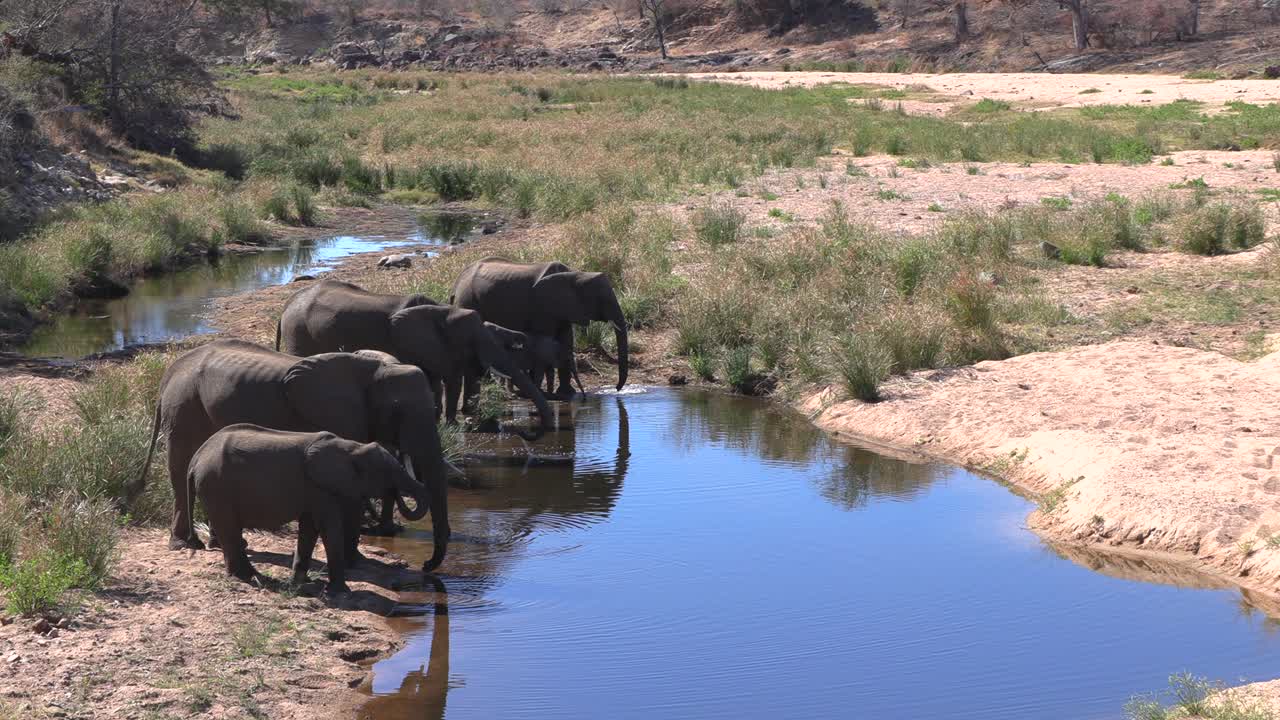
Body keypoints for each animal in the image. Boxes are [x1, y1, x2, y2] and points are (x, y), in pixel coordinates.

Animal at [128, 339, 451, 573]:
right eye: (397, 410)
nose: (426, 565)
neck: (376, 369)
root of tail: (170, 371)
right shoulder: (337, 418)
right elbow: (349, 492)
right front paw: (356, 564)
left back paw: (224, 543)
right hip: (184, 404)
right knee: (180, 465)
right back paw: (183, 545)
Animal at [189, 424, 420, 595]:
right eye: (388, 472)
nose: (395, 492)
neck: (352, 447)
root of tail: (195, 458)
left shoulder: (316, 490)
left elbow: (309, 528)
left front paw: (300, 583)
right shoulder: (321, 487)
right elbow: (328, 527)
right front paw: (340, 592)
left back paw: (247, 575)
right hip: (216, 485)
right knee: (229, 528)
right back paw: (248, 576)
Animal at [276, 279, 552, 439]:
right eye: (472, 340)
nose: (528, 431)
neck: (443, 310)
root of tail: (287, 305)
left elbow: (438, 379)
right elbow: (448, 378)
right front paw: (451, 424)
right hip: (298, 331)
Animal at [450, 259, 628, 399]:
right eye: (603, 300)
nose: (617, 388)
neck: (577, 275)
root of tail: (456, 284)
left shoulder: (565, 309)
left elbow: (566, 339)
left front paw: (566, 393)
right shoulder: (543, 307)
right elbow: (545, 340)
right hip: (468, 301)